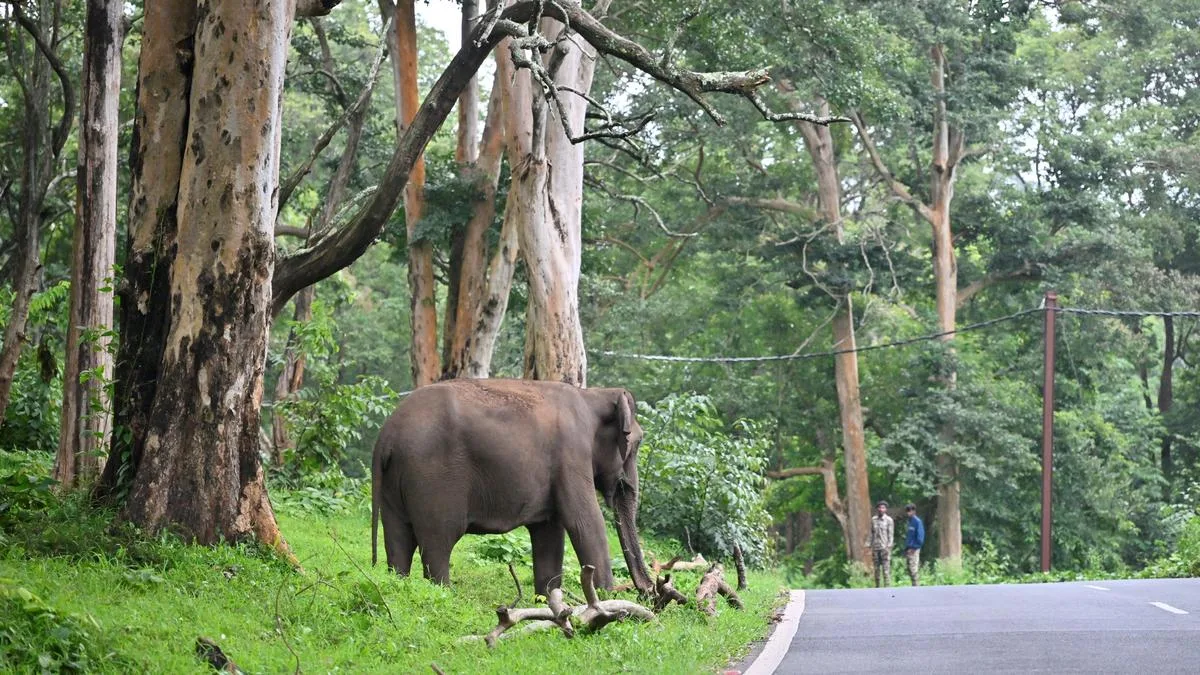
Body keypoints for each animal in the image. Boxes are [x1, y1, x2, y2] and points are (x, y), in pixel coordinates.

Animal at [370, 378, 655, 596]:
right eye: (637, 444)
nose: (647, 593)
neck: (593, 395)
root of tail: (386, 435)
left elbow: (549, 531)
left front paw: (547, 601)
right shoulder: (572, 454)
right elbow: (584, 521)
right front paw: (608, 602)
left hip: (395, 481)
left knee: (399, 540)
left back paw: (400, 585)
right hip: (432, 479)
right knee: (438, 541)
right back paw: (445, 594)